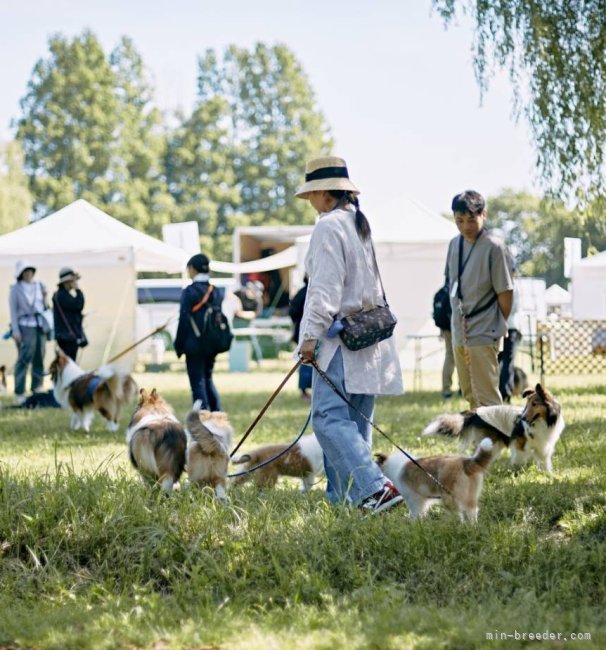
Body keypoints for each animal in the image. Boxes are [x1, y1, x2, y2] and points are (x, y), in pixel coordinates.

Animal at [426, 380, 568, 470]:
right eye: (527, 405)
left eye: (534, 404)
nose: (521, 418)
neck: (543, 421)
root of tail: (475, 412)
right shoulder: (520, 445)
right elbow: (519, 458)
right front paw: (517, 470)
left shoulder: (543, 445)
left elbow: (544, 460)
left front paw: (548, 473)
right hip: (491, 443)